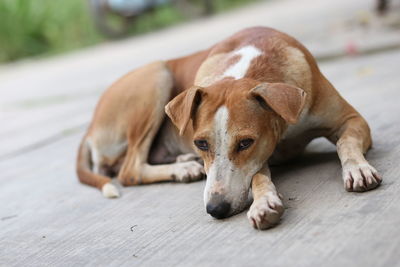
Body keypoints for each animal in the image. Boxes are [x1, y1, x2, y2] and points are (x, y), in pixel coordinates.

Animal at [77, 26, 382, 230]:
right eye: (201, 143)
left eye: (245, 143)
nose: (216, 209)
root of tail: (89, 127)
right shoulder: (262, 156)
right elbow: (258, 176)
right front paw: (264, 202)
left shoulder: (351, 120)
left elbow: (345, 142)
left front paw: (357, 168)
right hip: (156, 75)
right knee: (129, 170)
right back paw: (183, 169)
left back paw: (183, 162)